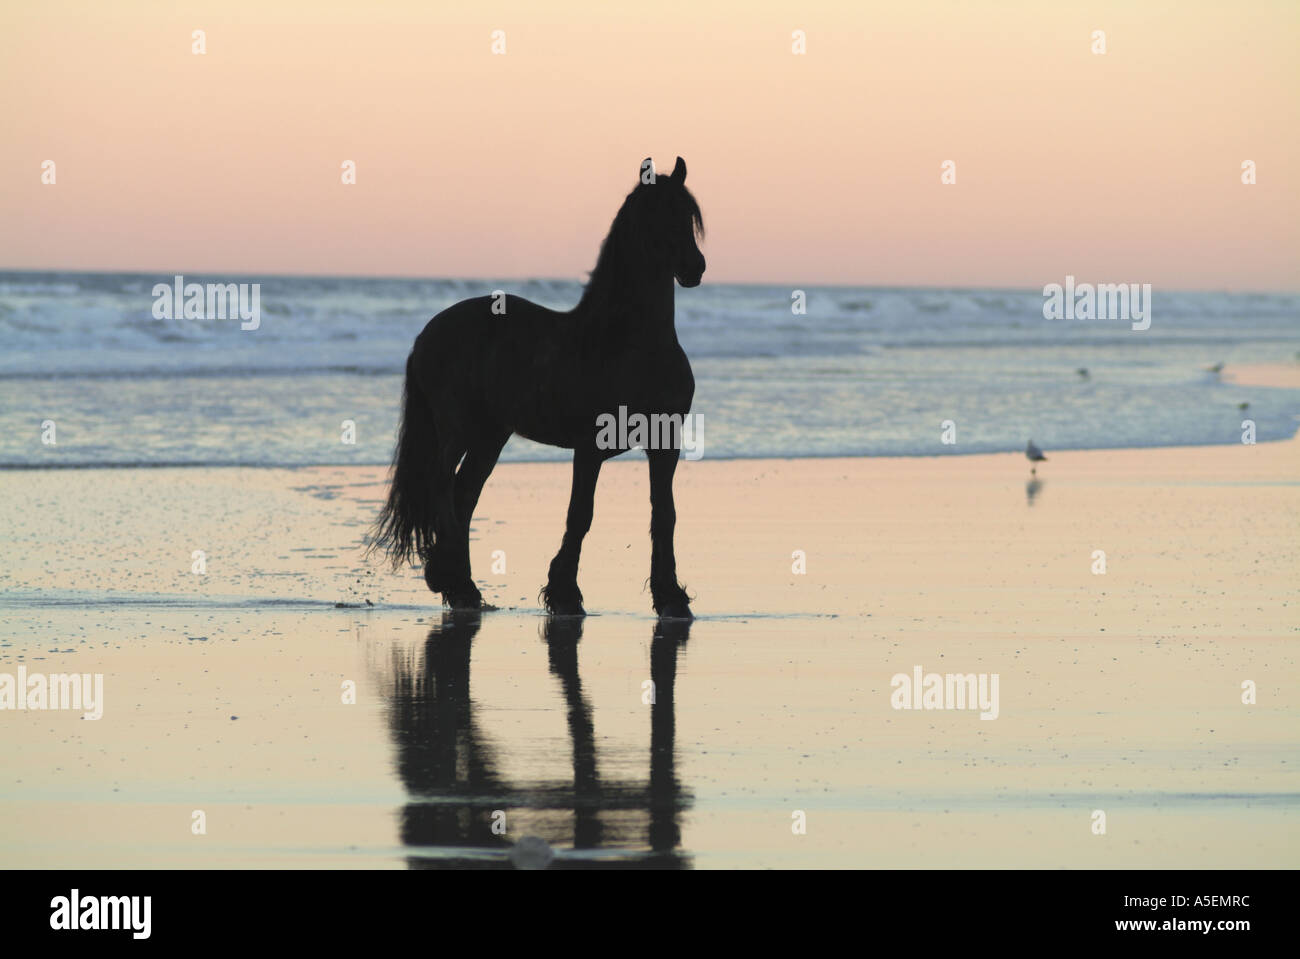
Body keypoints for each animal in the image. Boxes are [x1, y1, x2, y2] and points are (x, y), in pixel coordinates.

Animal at [370, 156, 705, 618]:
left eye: (688, 215)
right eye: (657, 212)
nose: (695, 268)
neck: (629, 344)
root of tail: (427, 334)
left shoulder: (664, 442)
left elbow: (664, 514)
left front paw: (670, 596)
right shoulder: (591, 447)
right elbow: (580, 514)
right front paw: (565, 593)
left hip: (491, 437)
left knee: (464, 494)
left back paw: (463, 588)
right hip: (457, 431)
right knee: (443, 487)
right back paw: (451, 580)